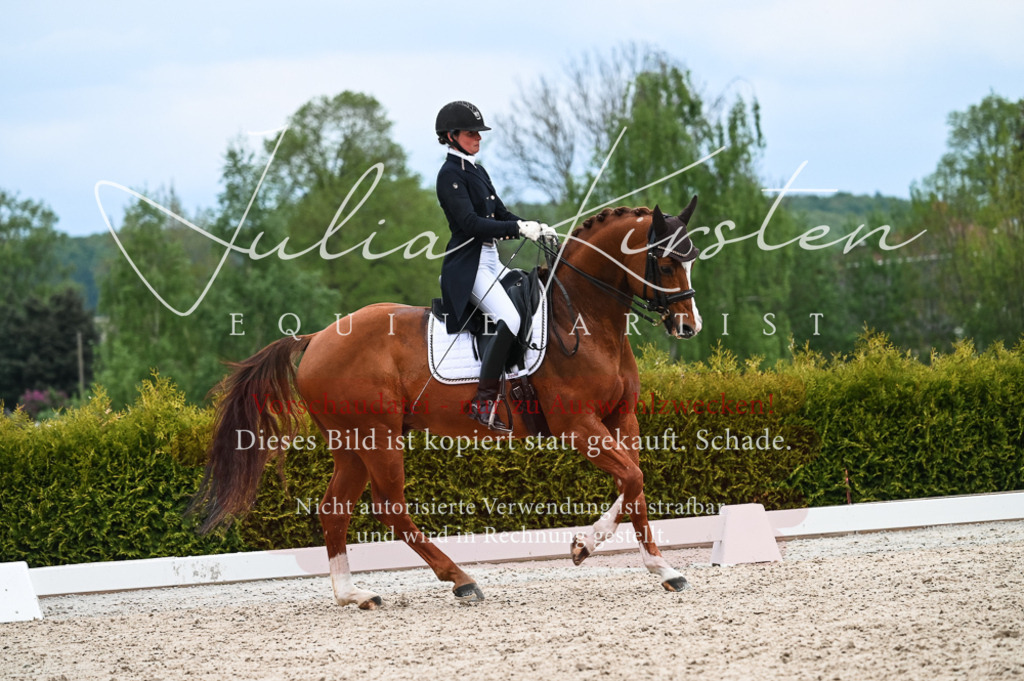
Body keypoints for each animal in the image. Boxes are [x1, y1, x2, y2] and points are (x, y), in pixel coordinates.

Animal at [191, 198, 703, 609]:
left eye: (691, 259)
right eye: (663, 262)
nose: (688, 327)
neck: (583, 318)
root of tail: (316, 338)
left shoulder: (622, 418)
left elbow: (634, 486)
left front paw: (660, 568)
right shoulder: (577, 425)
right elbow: (632, 479)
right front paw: (586, 545)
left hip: (351, 443)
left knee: (333, 509)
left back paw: (353, 594)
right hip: (377, 437)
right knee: (390, 509)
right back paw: (461, 580)